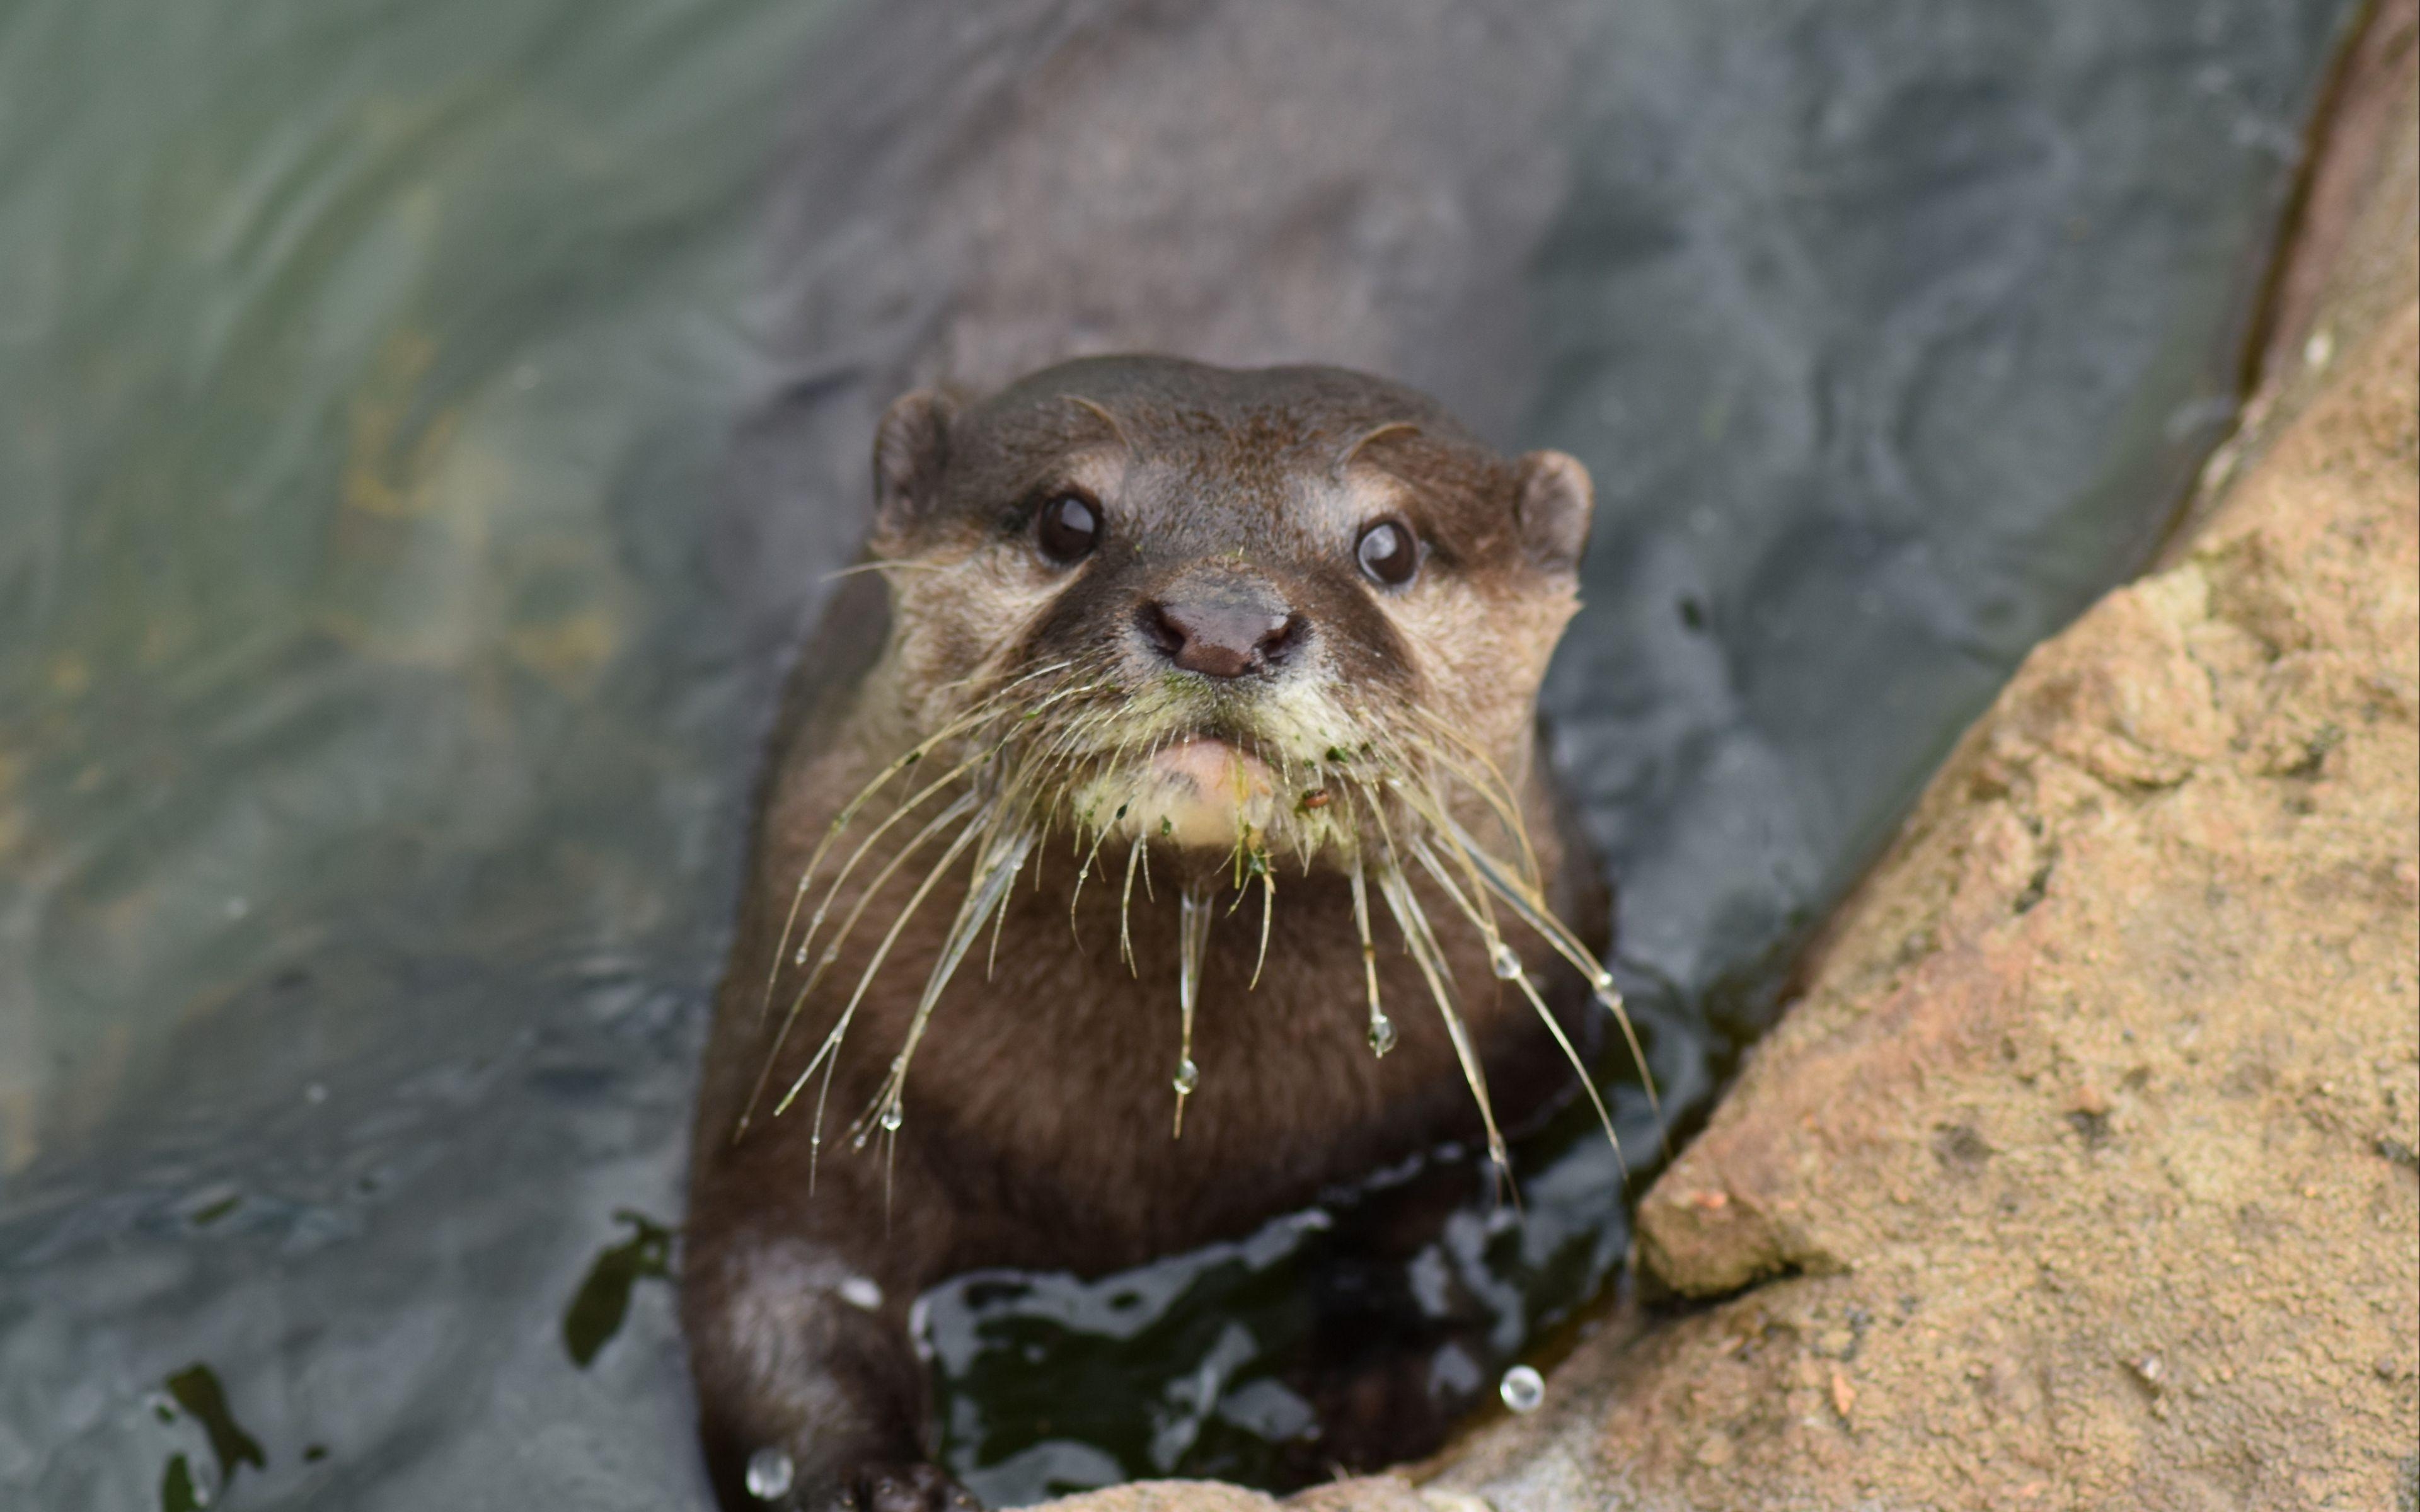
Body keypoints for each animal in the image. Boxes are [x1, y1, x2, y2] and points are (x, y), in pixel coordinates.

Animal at [682, 355, 1626, 1509]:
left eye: (1390, 545)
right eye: (1068, 518)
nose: (1223, 623)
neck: (1161, 1159)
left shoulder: (1492, 1077)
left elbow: (1427, 1232)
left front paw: (1373, 1394)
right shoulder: (806, 1039)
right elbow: (769, 1288)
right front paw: (878, 1484)